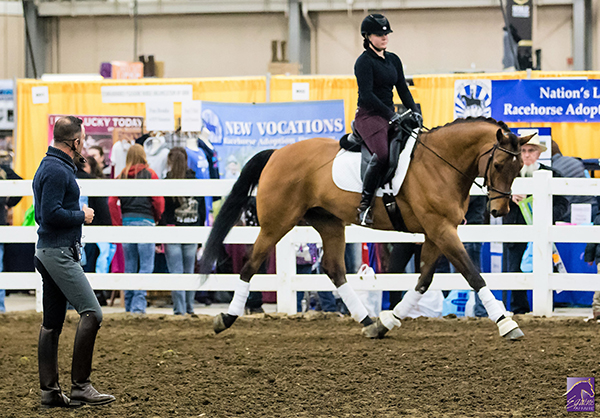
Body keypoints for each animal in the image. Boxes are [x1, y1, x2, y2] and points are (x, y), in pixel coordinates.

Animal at [199, 116, 532, 340]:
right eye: (499, 165)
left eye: (519, 168)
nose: (499, 210)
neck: (440, 164)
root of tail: (278, 153)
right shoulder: (440, 229)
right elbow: (472, 273)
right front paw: (507, 323)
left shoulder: (437, 231)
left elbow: (424, 280)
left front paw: (389, 321)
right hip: (276, 223)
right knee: (251, 263)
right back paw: (226, 318)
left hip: (329, 223)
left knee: (334, 269)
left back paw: (368, 323)